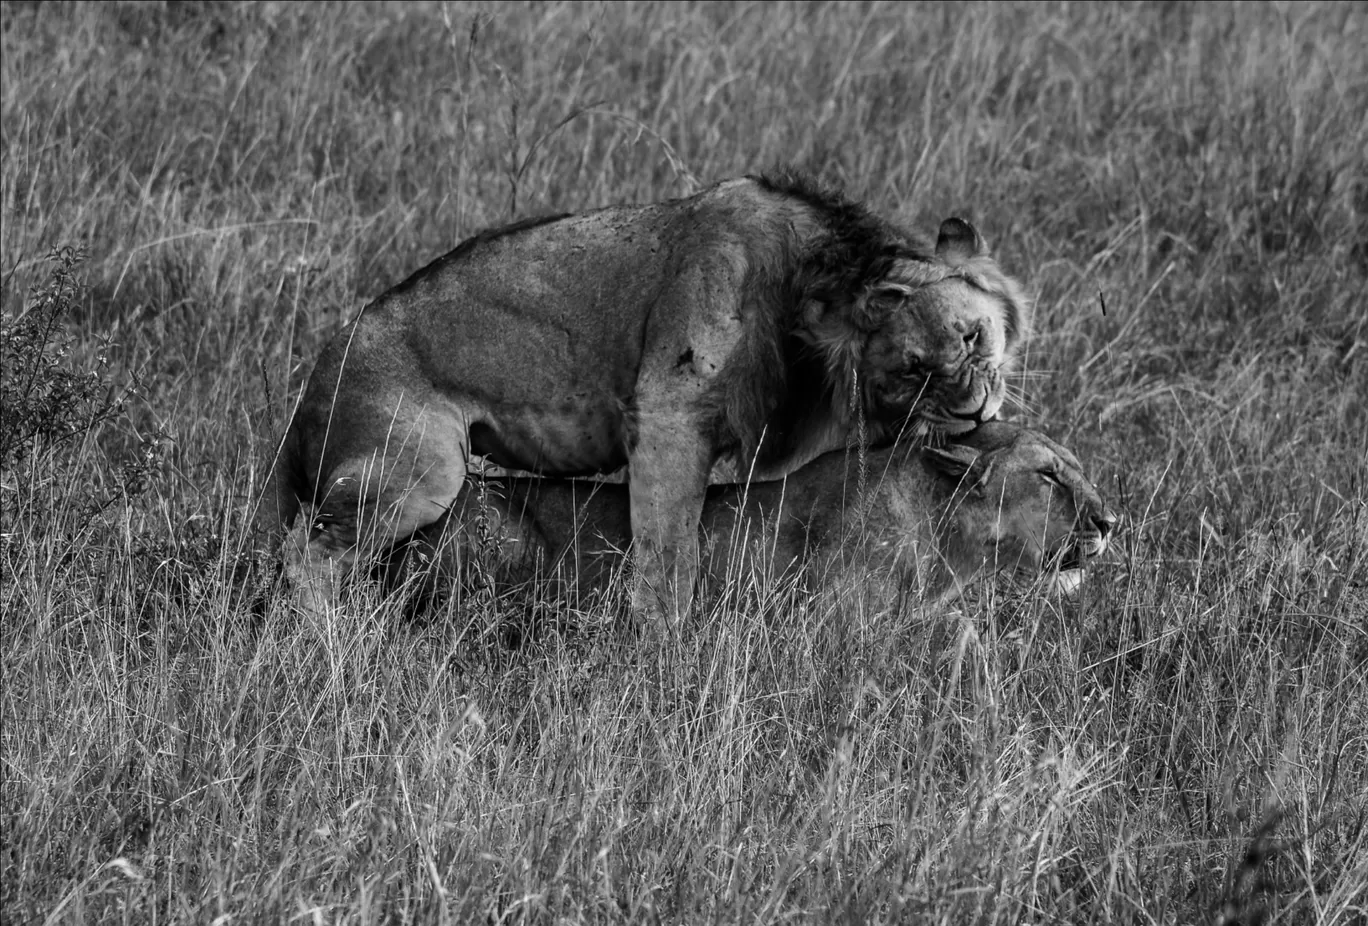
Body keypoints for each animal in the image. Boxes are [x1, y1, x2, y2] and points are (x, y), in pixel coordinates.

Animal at [258, 169, 1028, 618]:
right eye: (913, 371)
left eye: (971, 336)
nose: (976, 412)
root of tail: (317, 379)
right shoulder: (668, 416)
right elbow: (667, 558)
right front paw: (667, 659)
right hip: (422, 471)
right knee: (307, 559)